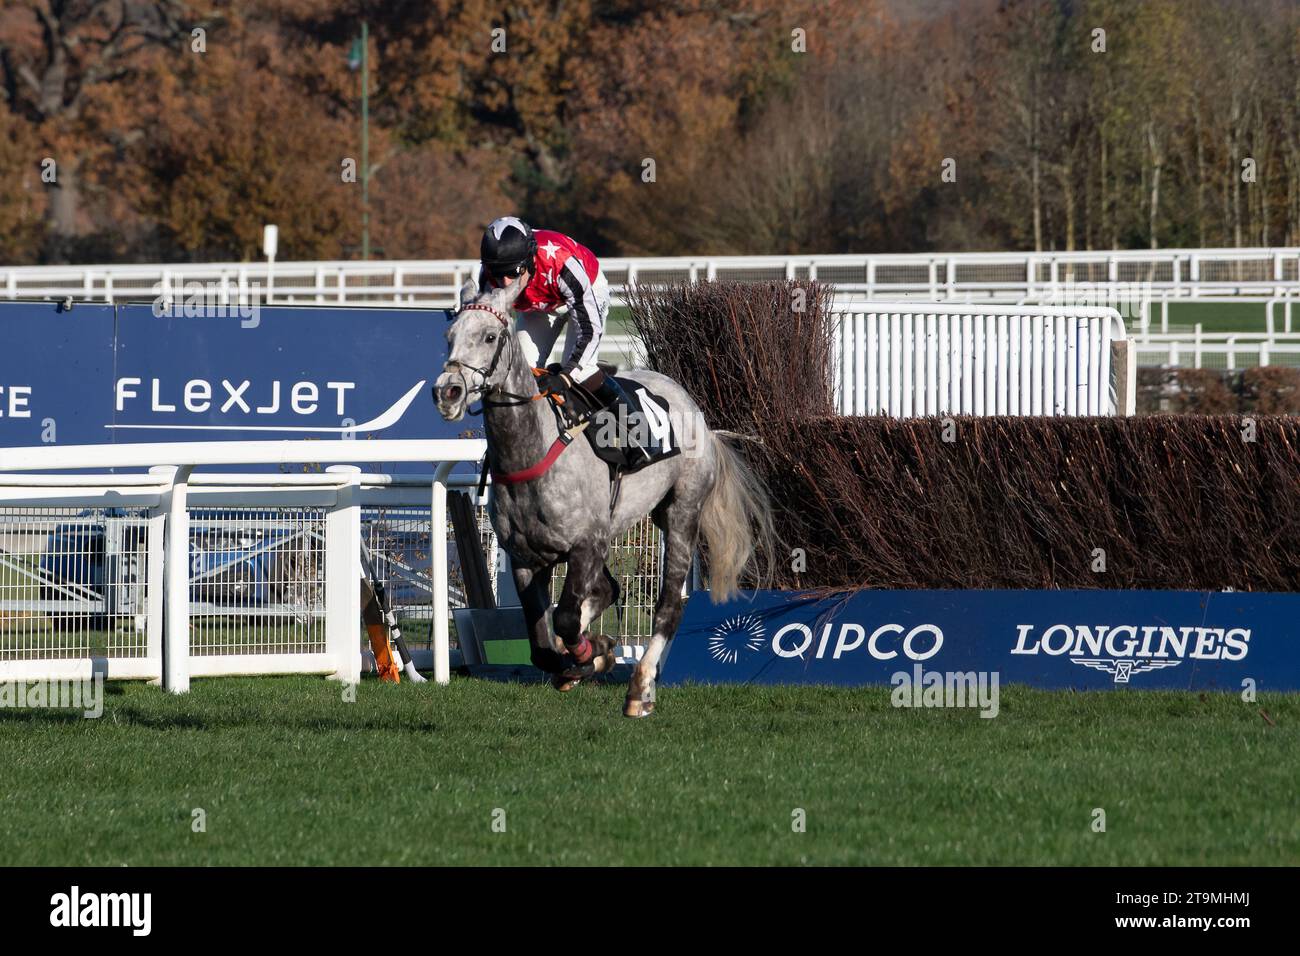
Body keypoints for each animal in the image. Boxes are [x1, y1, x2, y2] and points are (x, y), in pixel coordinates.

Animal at [431, 280, 769, 712]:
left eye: (490, 336)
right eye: (449, 336)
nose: (448, 392)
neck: (533, 448)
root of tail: (696, 411)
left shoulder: (587, 545)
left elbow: (564, 619)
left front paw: (588, 655)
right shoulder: (526, 558)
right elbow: (543, 644)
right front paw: (591, 655)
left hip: (681, 512)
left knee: (668, 605)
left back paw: (641, 686)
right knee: (608, 592)